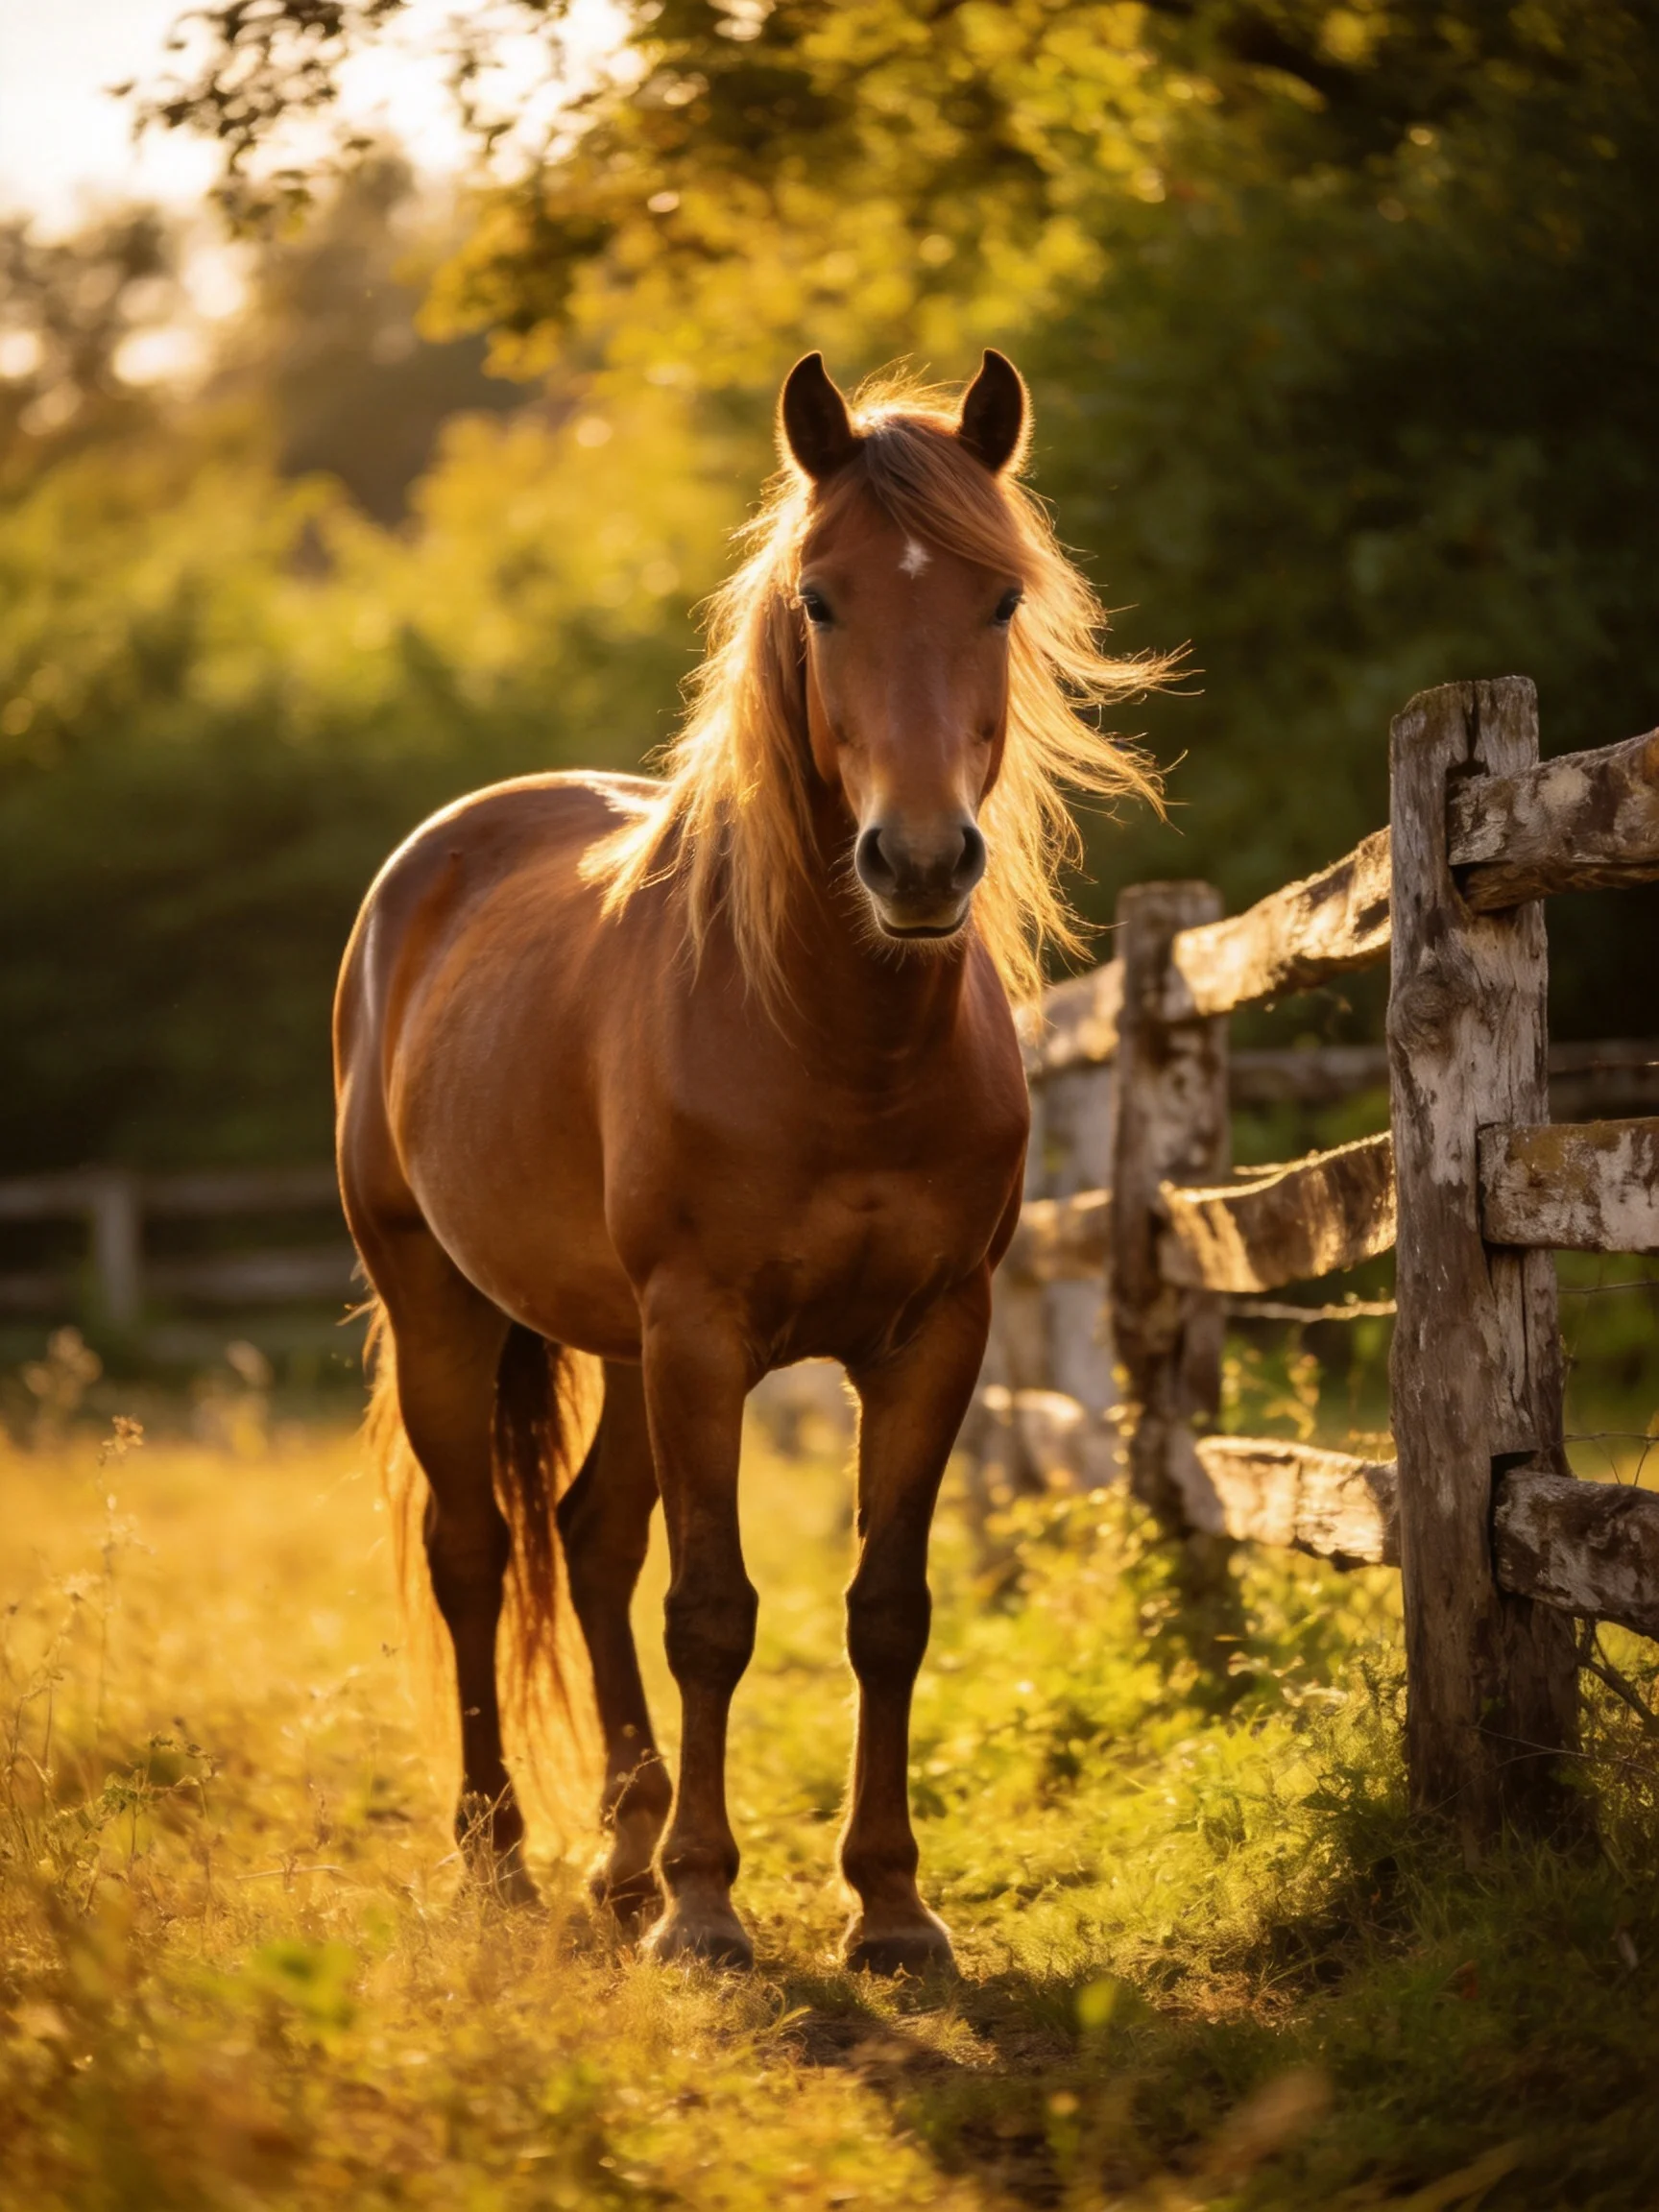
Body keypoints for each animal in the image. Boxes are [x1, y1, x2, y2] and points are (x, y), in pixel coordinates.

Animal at [335, 348, 1159, 1973]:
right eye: (821, 599)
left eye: (1001, 601)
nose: (919, 862)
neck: (836, 1045)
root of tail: (433, 864)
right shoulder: (705, 1331)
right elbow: (710, 1609)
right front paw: (710, 1911)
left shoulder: (930, 1334)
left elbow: (886, 1608)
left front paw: (892, 1907)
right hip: (444, 1303)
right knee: (476, 1554)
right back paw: (502, 1857)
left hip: (623, 1345)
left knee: (589, 1541)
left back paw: (620, 1857)